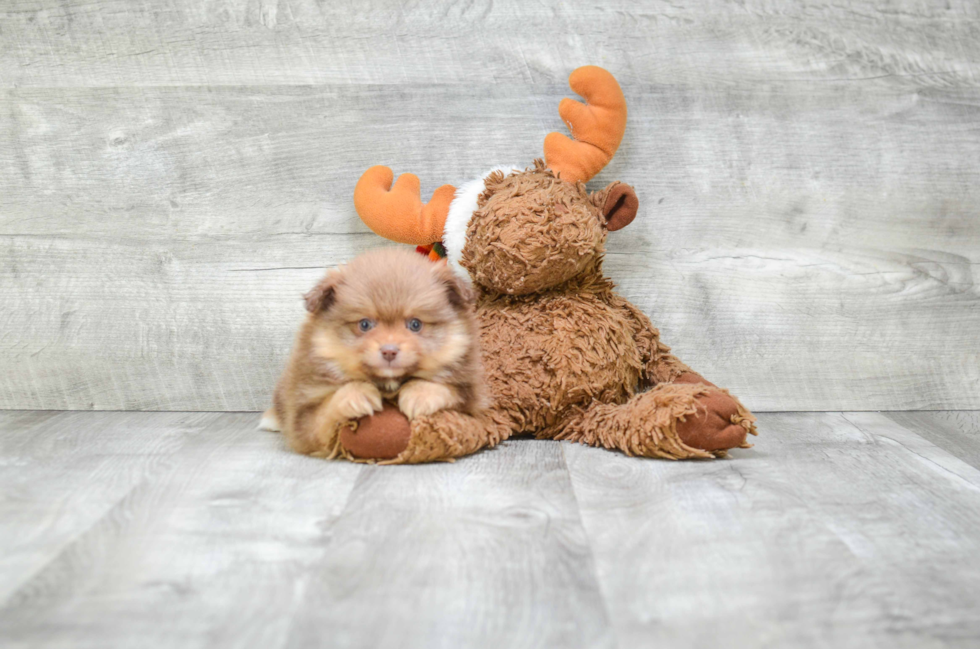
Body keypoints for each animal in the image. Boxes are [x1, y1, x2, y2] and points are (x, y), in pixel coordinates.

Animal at [260, 247, 482, 456]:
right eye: (365, 324)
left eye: (415, 324)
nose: (389, 351)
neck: (388, 385)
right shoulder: (303, 419)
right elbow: (326, 410)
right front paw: (357, 395)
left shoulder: (475, 401)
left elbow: (450, 389)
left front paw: (419, 395)